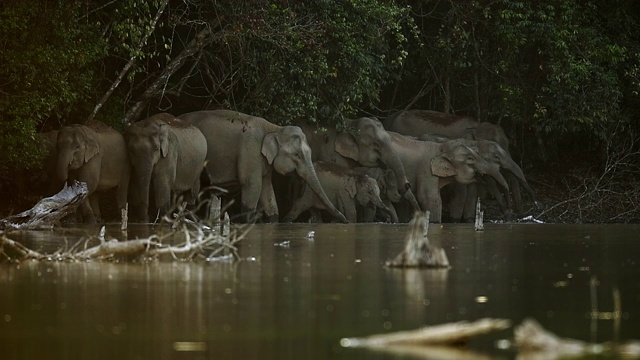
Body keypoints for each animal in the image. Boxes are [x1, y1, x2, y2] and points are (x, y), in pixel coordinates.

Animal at [178, 108, 348, 224]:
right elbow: (251, 184)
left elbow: (267, 191)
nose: (346, 220)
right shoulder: (250, 150)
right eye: (297, 155)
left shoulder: (264, 162)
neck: (274, 128)